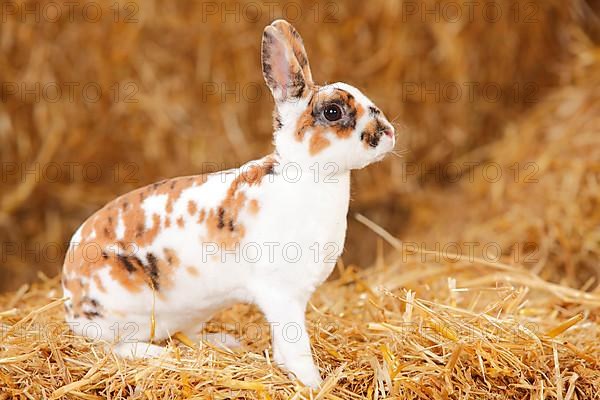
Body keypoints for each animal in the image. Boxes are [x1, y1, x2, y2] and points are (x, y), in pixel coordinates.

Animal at [63, 18, 396, 388]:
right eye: (333, 111)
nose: (387, 133)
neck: (308, 176)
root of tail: (69, 296)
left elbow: (283, 346)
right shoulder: (280, 295)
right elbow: (296, 346)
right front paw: (313, 384)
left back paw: (223, 343)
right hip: (129, 313)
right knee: (117, 348)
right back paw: (162, 356)